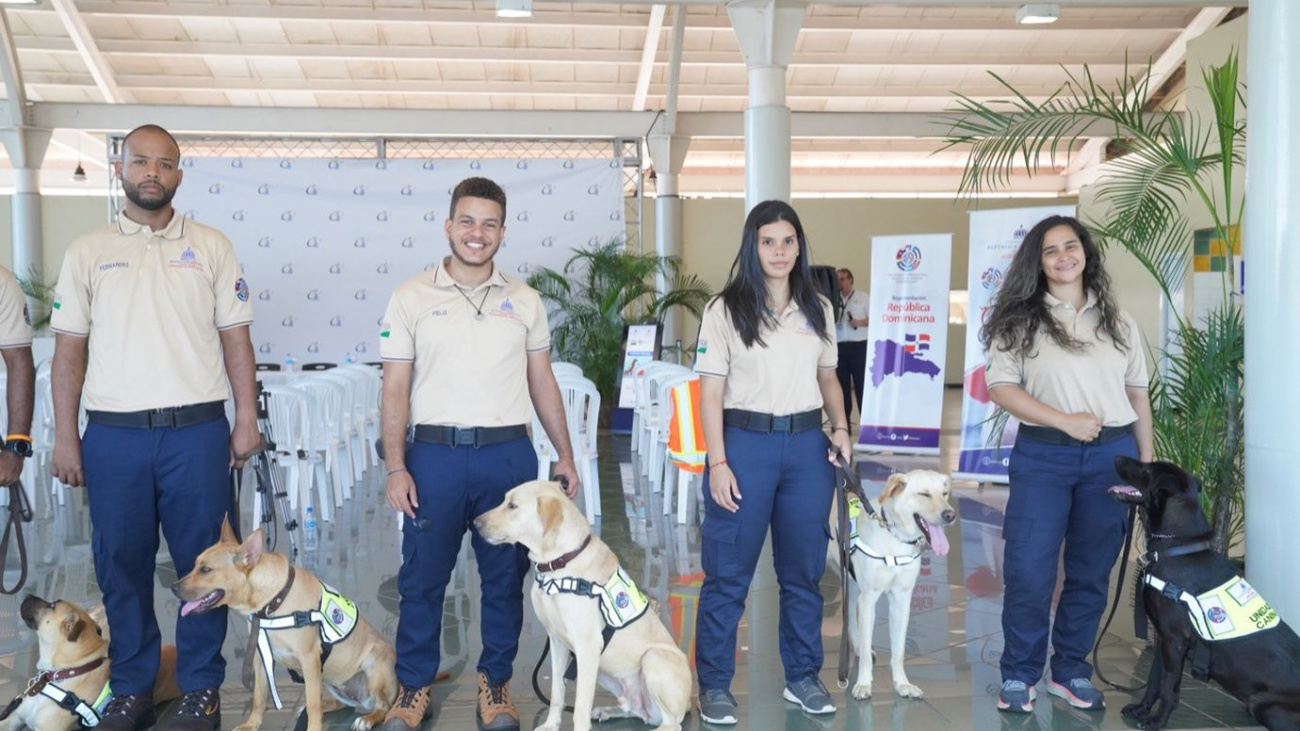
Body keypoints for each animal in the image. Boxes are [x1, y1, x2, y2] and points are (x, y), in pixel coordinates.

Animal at [172, 517, 395, 728]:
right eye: (195, 565)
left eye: (206, 569)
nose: (173, 588)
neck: (272, 603)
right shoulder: (260, 656)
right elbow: (259, 697)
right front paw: (252, 724)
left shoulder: (309, 657)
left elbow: (312, 703)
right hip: (330, 680)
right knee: (338, 703)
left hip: (373, 670)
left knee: (383, 707)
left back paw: (367, 719)